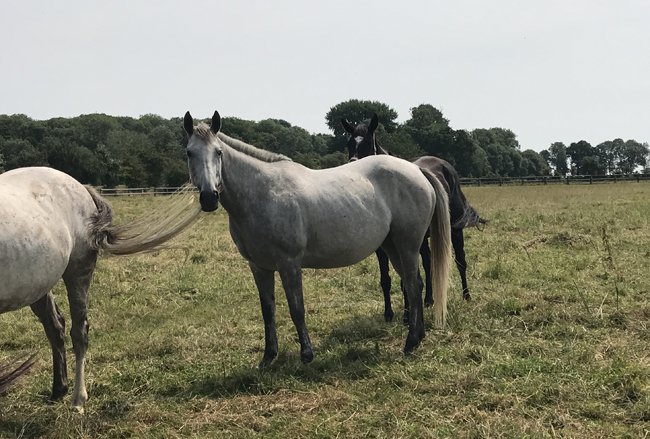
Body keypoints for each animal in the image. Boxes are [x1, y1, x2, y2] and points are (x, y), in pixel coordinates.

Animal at [0, 166, 200, 411]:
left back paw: (78, 399)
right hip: (37, 284)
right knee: (55, 327)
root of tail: (81, 187)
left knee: (79, 333)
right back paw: (58, 390)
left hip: (78, 272)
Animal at [183, 111, 452, 366]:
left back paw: (410, 342)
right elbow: (267, 311)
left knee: (414, 285)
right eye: (189, 153)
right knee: (414, 284)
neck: (264, 192)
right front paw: (268, 356)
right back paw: (418, 337)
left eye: (218, 152)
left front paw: (306, 354)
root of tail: (417, 170)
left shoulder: (289, 264)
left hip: (408, 245)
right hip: (392, 247)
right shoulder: (259, 266)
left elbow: (296, 308)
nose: (209, 198)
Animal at [342, 114, 485, 322]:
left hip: (455, 230)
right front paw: (389, 313)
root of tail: (446, 166)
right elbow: (386, 280)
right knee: (428, 263)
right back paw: (429, 300)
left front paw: (407, 315)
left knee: (460, 262)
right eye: (349, 144)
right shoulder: (382, 249)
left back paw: (466, 296)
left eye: (369, 143)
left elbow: (406, 280)